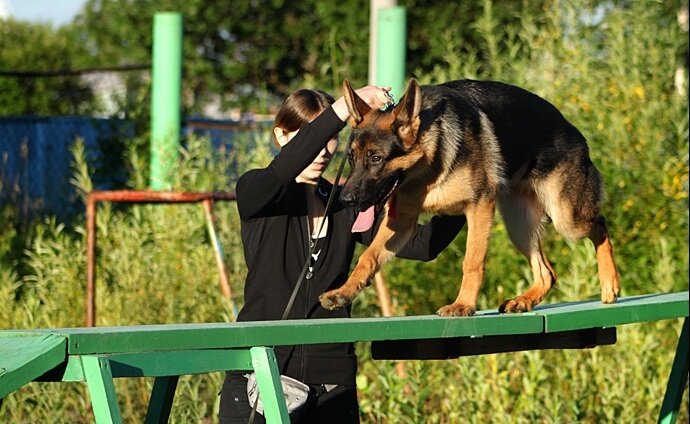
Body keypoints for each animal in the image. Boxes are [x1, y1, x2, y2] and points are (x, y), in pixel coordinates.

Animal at [320, 79, 620, 316]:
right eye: (351, 158)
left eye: (376, 158)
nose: (345, 200)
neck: (427, 167)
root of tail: (572, 128)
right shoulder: (401, 222)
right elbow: (368, 257)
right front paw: (343, 292)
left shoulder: (479, 207)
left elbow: (472, 262)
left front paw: (463, 305)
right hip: (520, 227)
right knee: (547, 273)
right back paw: (523, 301)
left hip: (566, 218)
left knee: (600, 224)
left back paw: (610, 283)